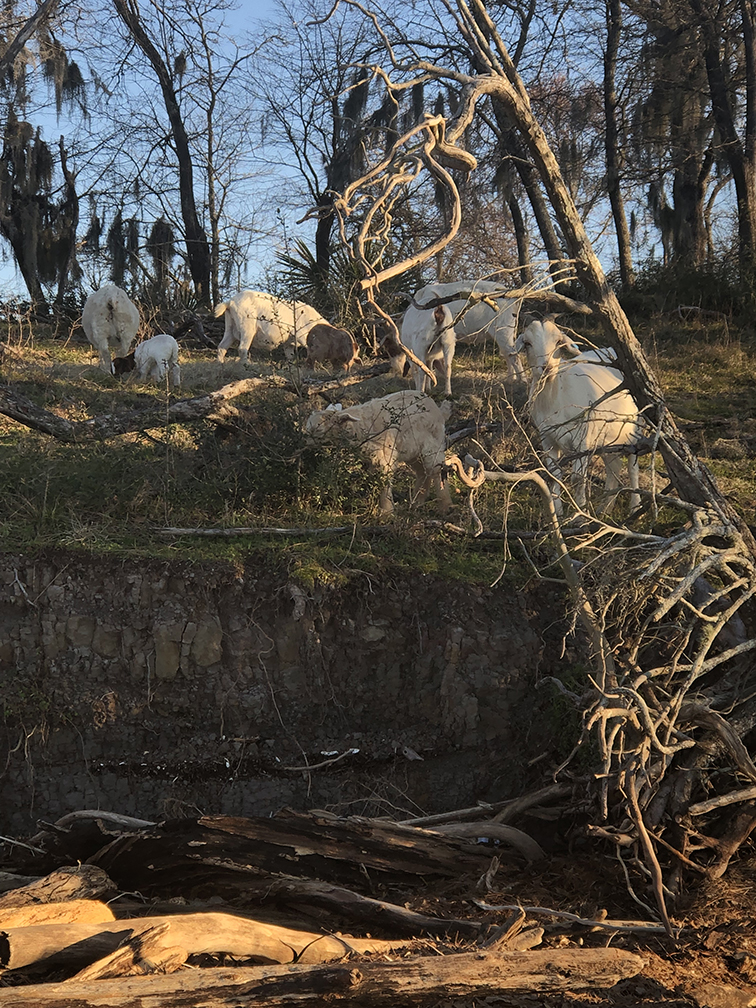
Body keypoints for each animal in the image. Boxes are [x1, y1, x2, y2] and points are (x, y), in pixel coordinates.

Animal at [304, 385, 453, 512]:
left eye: (318, 430)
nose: (305, 444)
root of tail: (438, 410)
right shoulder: (372, 459)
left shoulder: (385, 457)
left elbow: (384, 482)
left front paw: (386, 511)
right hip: (413, 452)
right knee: (423, 472)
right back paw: (417, 502)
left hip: (432, 445)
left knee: (437, 471)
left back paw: (445, 506)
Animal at [512, 318, 641, 516]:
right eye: (527, 343)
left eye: (558, 342)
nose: (547, 367)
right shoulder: (547, 437)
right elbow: (554, 475)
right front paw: (558, 512)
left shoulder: (583, 438)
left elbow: (577, 478)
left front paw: (580, 514)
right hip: (606, 437)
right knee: (614, 468)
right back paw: (605, 508)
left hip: (633, 427)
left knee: (632, 467)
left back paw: (635, 507)